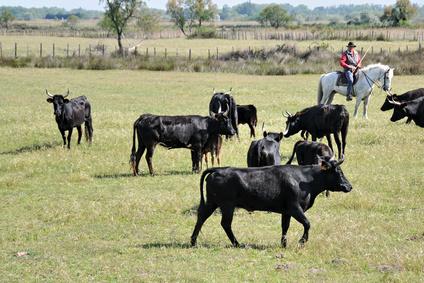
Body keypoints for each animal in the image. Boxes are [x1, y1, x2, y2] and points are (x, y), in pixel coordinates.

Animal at [191, 159, 352, 250]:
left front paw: (283, 245)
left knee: (201, 217)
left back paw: (193, 242)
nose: (349, 186)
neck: (305, 179)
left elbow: (285, 227)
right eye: (338, 172)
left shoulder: (286, 211)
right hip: (227, 205)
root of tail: (219, 169)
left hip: (212, 203)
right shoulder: (295, 207)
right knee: (225, 224)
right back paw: (237, 243)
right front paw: (301, 242)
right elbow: (307, 223)